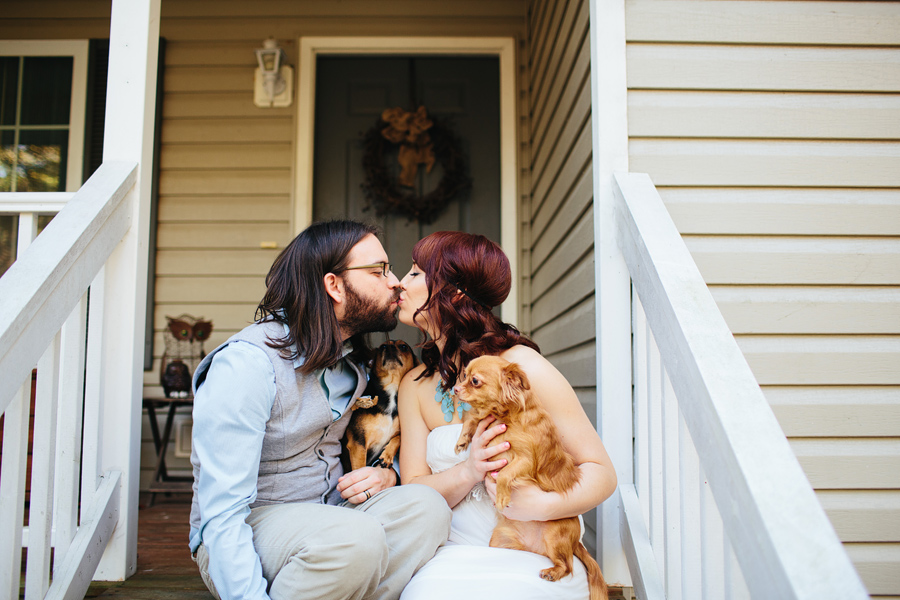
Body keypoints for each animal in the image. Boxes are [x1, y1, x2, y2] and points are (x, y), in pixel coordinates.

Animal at [342, 340, 418, 472]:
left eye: (404, 347)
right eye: (383, 346)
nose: (390, 347)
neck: (391, 388)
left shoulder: (400, 433)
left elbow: (398, 439)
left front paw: (387, 456)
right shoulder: (358, 443)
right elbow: (360, 468)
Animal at [454, 356, 608, 600]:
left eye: (475, 381)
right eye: (463, 375)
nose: (455, 388)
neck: (504, 416)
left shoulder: (526, 461)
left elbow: (505, 473)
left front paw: (502, 496)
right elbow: (472, 419)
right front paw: (462, 439)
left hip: (555, 535)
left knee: (567, 565)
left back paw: (552, 573)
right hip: (500, 540)